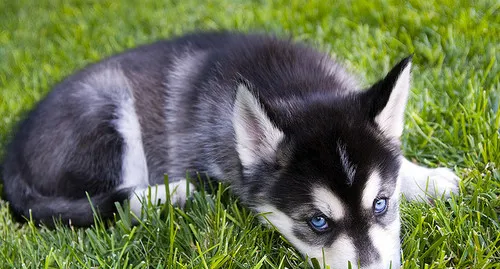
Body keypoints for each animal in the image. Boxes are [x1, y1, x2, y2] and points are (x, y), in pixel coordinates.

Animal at [1, 31, 458, 268]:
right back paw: (171, 194)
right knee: (116, 204)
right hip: (106, 107)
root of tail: (11, 156)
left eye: (381, 204)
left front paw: (429, 179)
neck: (295, 87)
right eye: (317, 222)